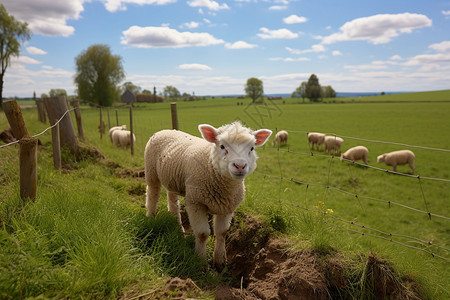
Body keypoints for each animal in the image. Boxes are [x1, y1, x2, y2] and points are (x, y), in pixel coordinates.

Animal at [144, 120, 270, 268]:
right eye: (222, 146)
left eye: (251, 148)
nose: (239, 166)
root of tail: (167, 130)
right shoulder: (196, 202)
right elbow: (203, 234)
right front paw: (200, 261)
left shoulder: (227, 207)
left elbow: (222, 233)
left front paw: (220, 262)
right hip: (151, 171)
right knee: (152, 193)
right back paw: (150, 217)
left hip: (171, 178)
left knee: (172, 200)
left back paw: (178, 226)